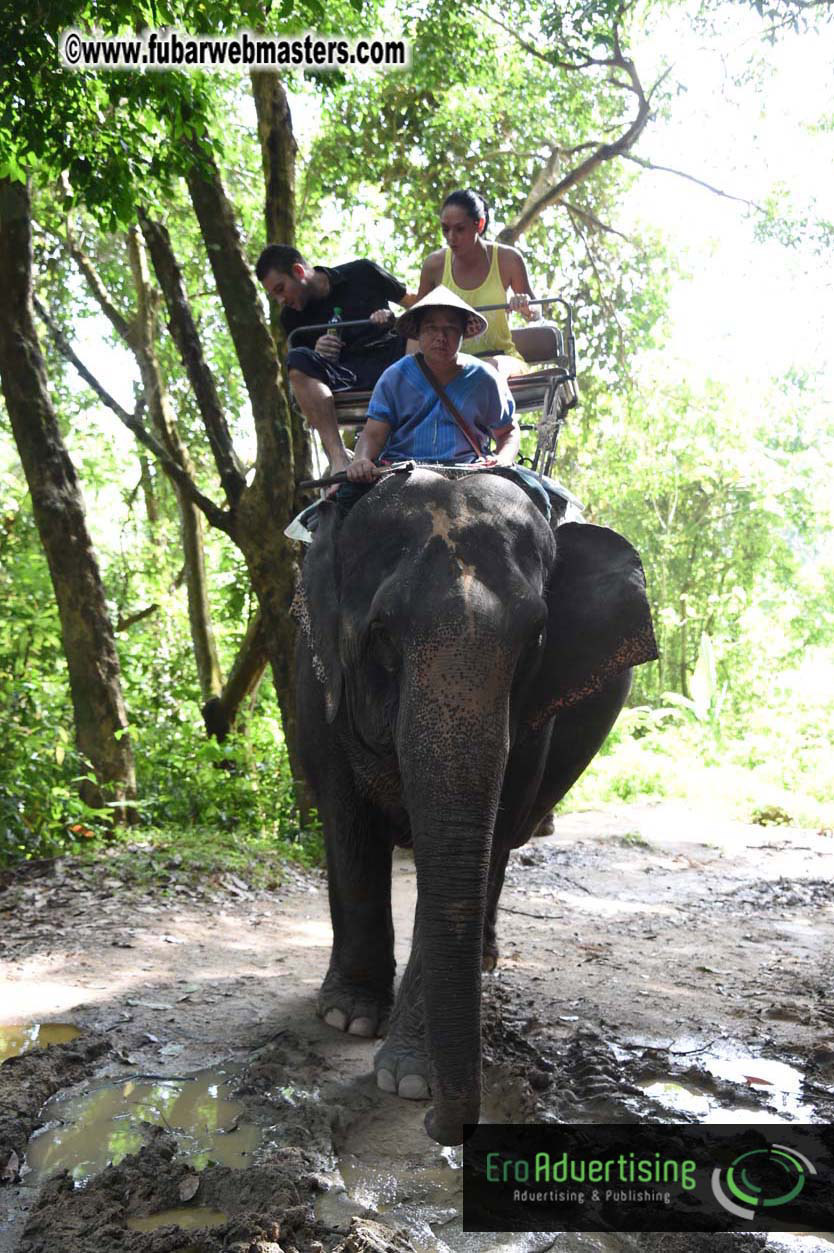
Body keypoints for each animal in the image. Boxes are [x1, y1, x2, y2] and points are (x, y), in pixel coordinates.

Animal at [292, 466, 657, 1145]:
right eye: (382, 633)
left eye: (536, 638)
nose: (442, 1126)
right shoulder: (317, 678)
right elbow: (348, 820)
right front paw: (348, 1020)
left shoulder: (536, 715)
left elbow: (486, 835)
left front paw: (409, 1078)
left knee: (505, 846)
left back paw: (484, 961)